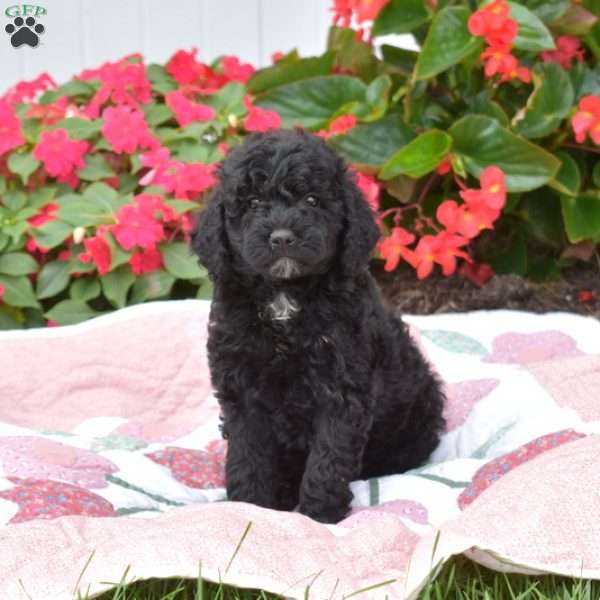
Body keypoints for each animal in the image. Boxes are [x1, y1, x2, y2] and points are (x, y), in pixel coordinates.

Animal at [192, 129, 446, 524]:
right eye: (252, 202)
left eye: (312, 200)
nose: (282, 237)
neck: (285, 297)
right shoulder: (241, 387)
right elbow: (248, 455)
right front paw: (251, 507)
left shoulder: (341, 392)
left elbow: (328, 460)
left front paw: (318, 518)